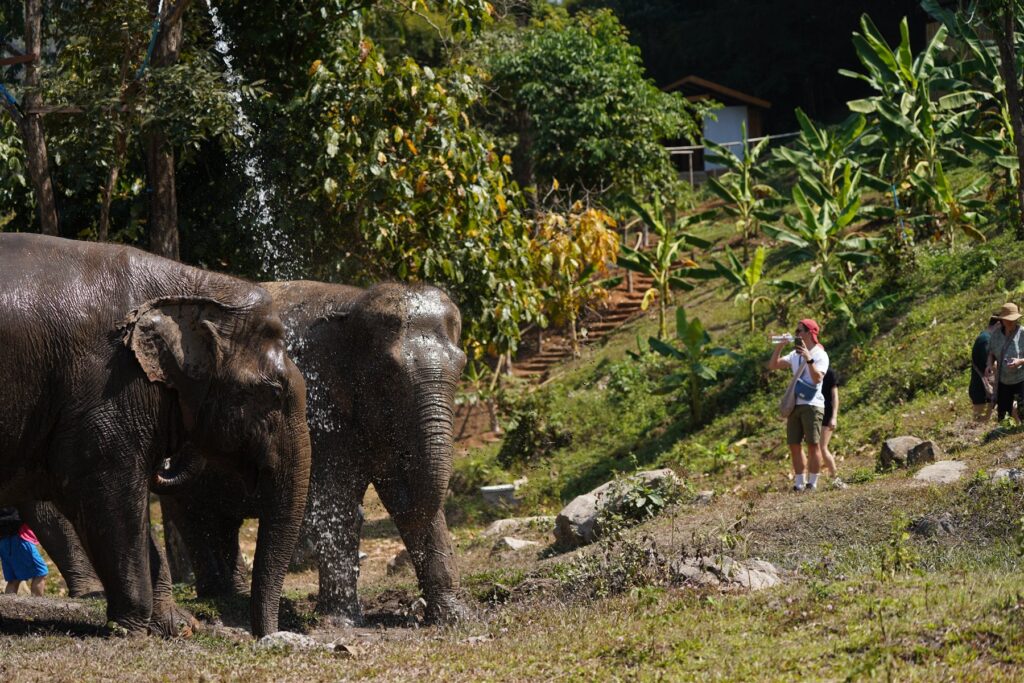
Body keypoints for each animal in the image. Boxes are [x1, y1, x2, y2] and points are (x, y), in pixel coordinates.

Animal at [0, 233, 312, 637]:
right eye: (272, 393)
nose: (265, 635)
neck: (193, 290)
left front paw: (179, 626)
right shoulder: (103, 393)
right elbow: (111, 497)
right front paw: (130, 629)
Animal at [159, 281, 468, 624]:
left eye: (463, 365)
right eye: (388, 375)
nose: (418, 609)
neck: (353, 304)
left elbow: (405, 485)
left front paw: (456, 618)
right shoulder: (313, 405)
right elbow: (337, 497)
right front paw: (342, 622)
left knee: (222, 521)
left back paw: (234, 594)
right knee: (194, 517)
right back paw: (219, 596)